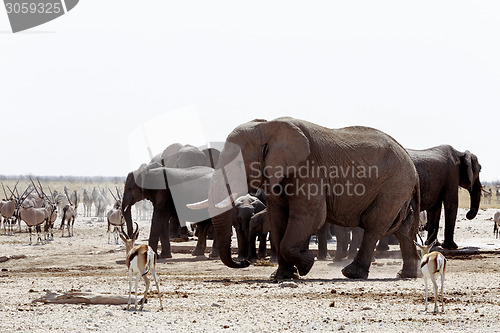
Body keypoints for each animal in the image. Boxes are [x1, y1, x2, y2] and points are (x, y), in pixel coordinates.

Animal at [205, 118, 420, 278]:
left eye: (238, 165)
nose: (244, 262)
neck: (268, 127)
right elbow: (278, 217)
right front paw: (281, 276)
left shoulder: (307, 168)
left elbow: (311, 215)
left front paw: (306, 263)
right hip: (398, 188)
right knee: (402, 227)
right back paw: (407, 274)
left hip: (393, 185)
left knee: (374, 225)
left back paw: (351, 273)